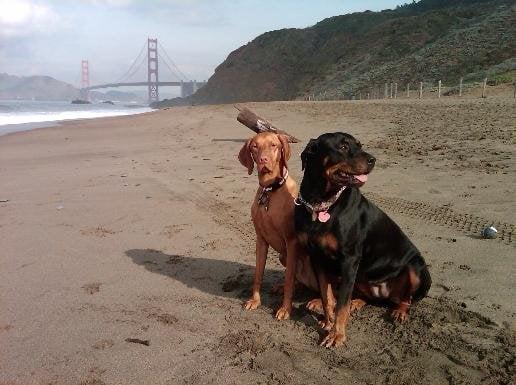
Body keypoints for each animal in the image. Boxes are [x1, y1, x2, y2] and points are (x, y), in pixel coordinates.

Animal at [239, 132, 318, 318]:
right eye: (255, 146)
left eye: (273, 145)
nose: (263, 160)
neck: (270, 190)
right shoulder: (260, 240)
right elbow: (258, 274)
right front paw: (255, 300)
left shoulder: (291, 242)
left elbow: (288, 278)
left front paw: (285, 309)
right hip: (283, 256)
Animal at [294, 132, 432, 344]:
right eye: (342, 147)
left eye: (360, 145)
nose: (372, 160)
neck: (322, 202)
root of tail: (386, 294)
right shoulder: (317, 257)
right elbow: (327, 295)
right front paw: (328, 321)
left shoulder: (349, 259)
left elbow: (341, 303)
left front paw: (337, 334)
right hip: (360, 275)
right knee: (363, 296)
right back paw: (357, 302)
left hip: (416, 267)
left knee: (407, 298)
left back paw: (399, 311)